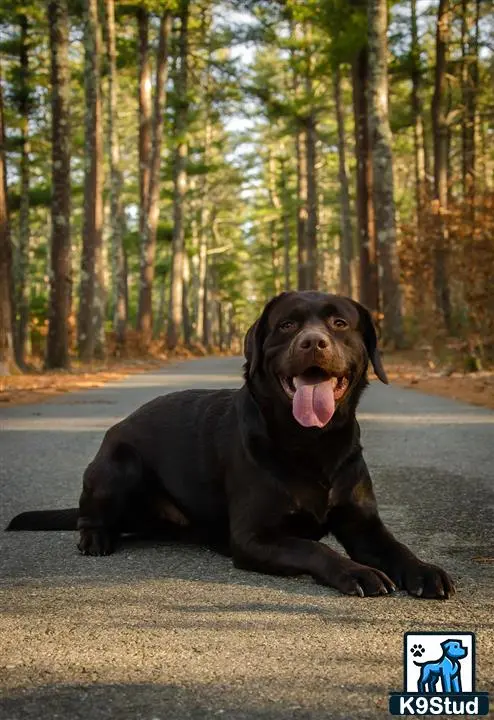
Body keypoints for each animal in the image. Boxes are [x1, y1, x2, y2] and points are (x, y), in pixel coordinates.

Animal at [6, 290, 456, 600]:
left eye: (339, 324)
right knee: (90, 516)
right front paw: (357, 572)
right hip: (117, 464)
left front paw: (424, 570)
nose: (313, 342)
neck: (311, 442)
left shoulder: (363, 524)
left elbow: (397, 547)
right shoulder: (254, 536)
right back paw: (95, 538)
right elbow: (316, 549)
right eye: (287, 326)